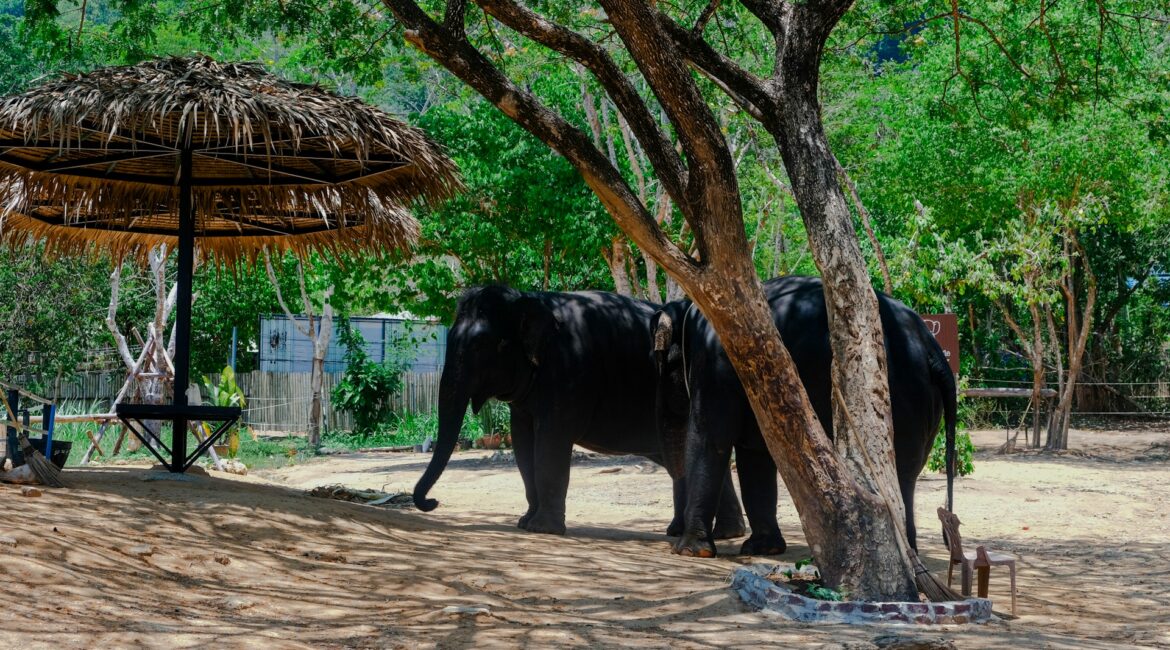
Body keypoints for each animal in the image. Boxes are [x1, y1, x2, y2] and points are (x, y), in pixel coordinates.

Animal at [412, 285, 747, 538]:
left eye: (484, 345)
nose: (433, 502)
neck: (528, 297)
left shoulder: (569, 372)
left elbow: (550, 443)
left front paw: (542, 529)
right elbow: (522, 444)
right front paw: (525, 522)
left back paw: (709, 534)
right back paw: (712, 533)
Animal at [652, 275, 957, 557]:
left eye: (663, 363)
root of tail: (932, 348)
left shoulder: (714, 363)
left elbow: (709, 439)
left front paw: (689, 551)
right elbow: (754, 453)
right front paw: (763, 549)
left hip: (901, 394)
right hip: (923, 402)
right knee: (908, 471)